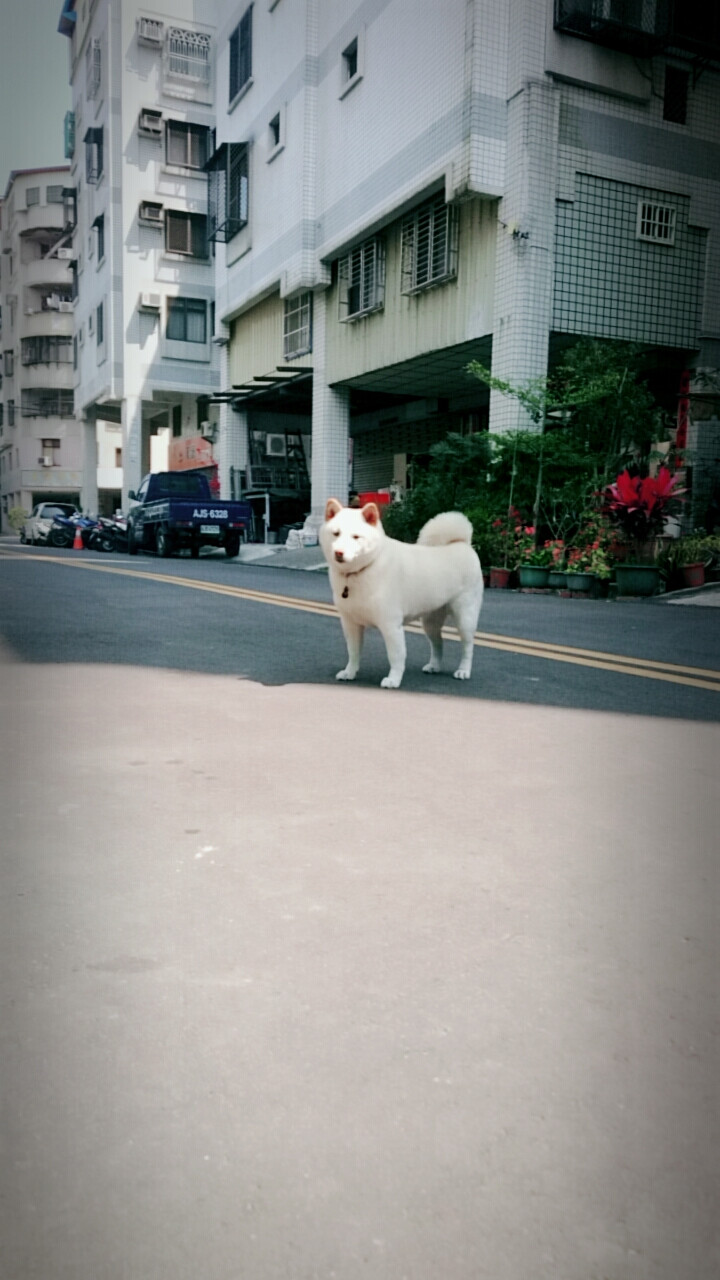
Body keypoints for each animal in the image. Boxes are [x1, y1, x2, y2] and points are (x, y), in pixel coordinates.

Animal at [317, 499, 481, 691]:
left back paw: (463, 671)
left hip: (465, 618)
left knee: (468, 647)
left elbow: (395, 656)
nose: (339, 552)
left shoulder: (390, 625)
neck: (360, 571)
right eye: (336, 533)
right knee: (438, 643)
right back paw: (434, 666)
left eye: (356, 537)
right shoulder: (350, 623)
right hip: (430, 621)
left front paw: (393, 680)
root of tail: (463, 544)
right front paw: (349, 673)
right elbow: (353, 652)